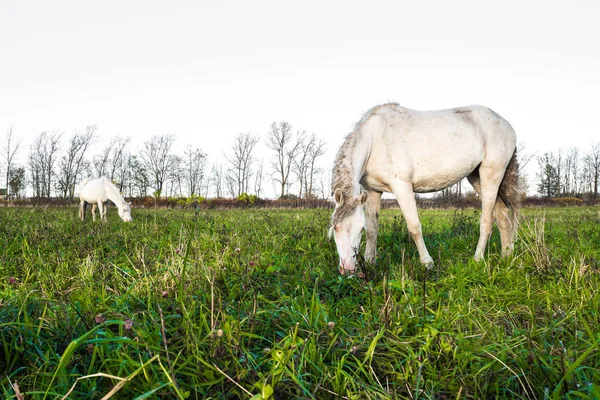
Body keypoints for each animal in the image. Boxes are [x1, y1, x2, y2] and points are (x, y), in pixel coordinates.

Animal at [330, 104, 516, 276]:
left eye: (359, 229)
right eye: (336, 227)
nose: (347, 269)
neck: (374, 140)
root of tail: (506, 124)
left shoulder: (402, 187)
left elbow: (414, 227)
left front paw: (427, 263)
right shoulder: (372, 191)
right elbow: (373, 229)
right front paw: (370, 262)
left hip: (491, 175)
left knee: (487, 219)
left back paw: (478, 259)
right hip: (476, 177)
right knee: (502, 214)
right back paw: (507, 256)